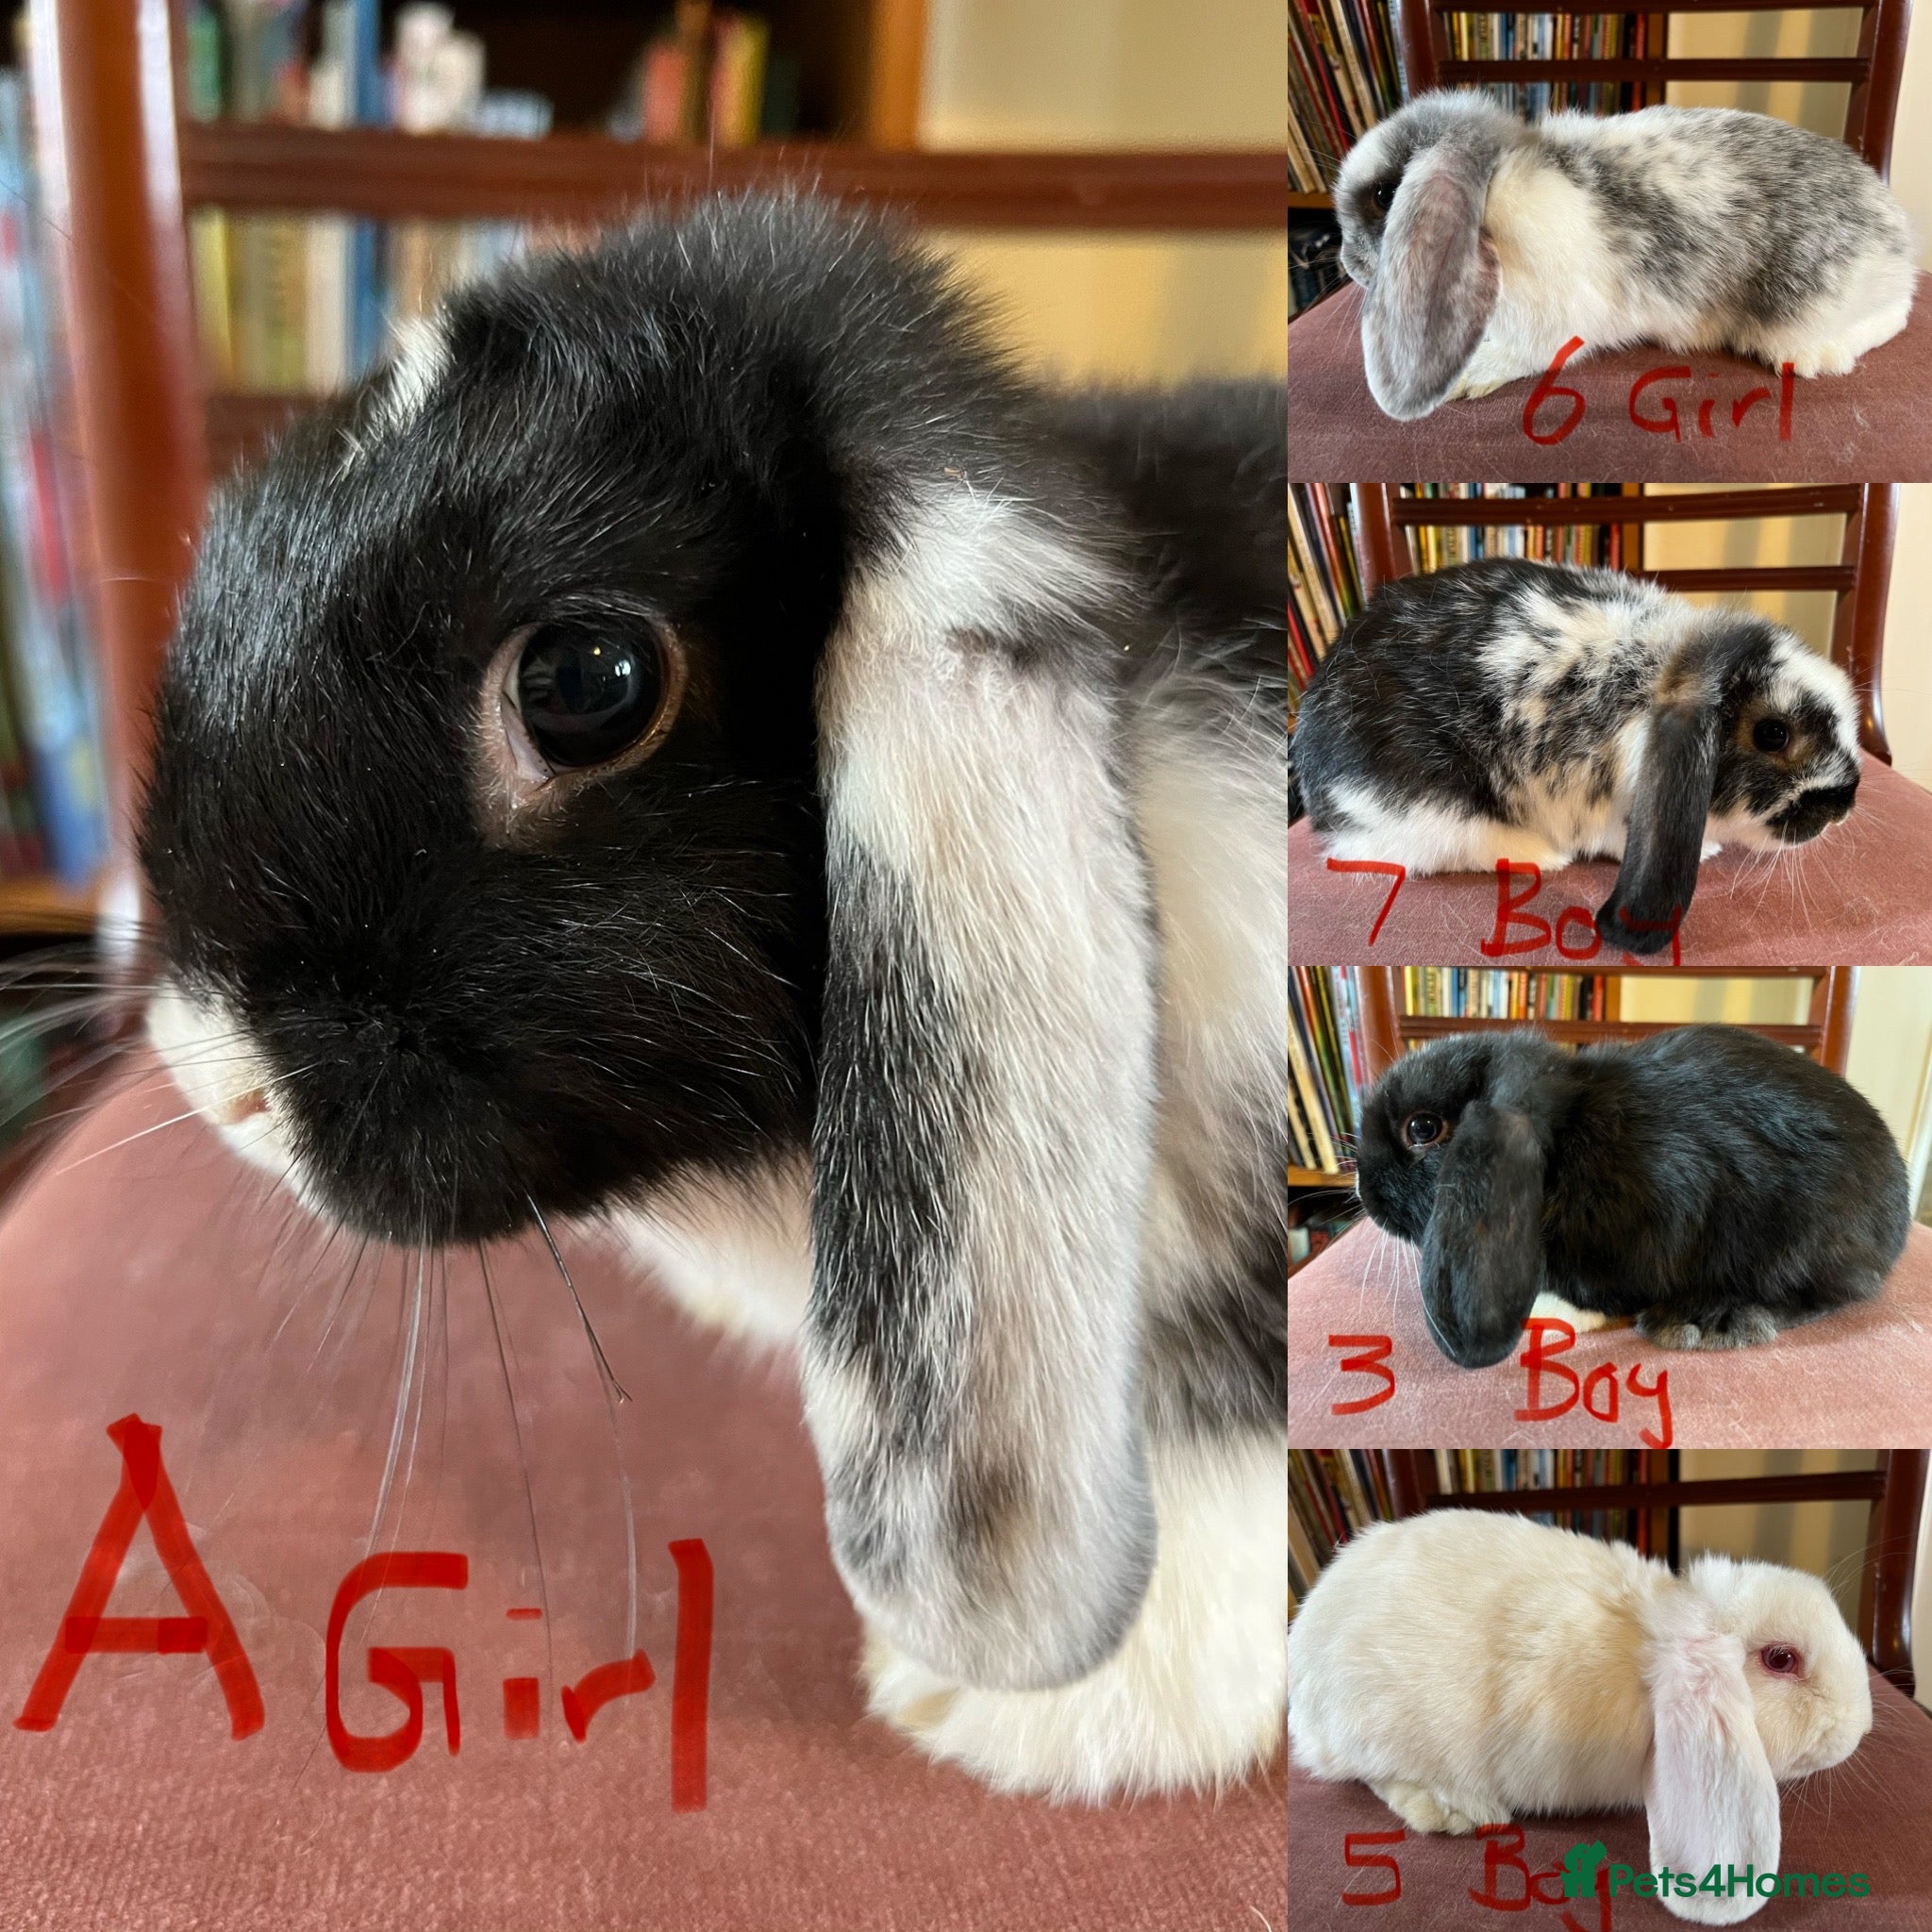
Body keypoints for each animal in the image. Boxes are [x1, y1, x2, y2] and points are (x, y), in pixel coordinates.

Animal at [1290, 557, 1864, 955]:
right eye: (1772, 734)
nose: (1843, 806)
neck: (1651, 680)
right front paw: (1705, 849)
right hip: (1427, 807)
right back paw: (1540, 854)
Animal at [1333, 91, 1917, 420]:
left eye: (1384, 195)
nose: (1347, 264)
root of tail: (1901, 242)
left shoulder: (1550, 325)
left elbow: (1525, 355)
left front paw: (1472, 374)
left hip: (1800, 317)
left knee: (1890, 320)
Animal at [1352, 1023, 1909, 1369]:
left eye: (1422, 1128)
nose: (1362, 1187)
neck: (1563, 1149)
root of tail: (1899, 1218)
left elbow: (1604, 1295)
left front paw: (1552, 1314)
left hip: (1800, 1244)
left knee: (1818, 1297)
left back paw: (1706, 1320)